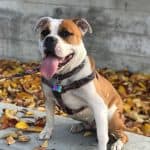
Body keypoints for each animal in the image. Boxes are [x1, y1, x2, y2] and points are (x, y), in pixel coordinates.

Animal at [34, 17, 127, 149]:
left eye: (66, 33)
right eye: (44, 33)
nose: (49, 39)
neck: (63, 76)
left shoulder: (98, 106)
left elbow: (102, 136)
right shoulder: (48, 99)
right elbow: (50, 118)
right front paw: (47, 131)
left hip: (112, 118)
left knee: (122, 134)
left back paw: (117, 143)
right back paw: (80, 126)